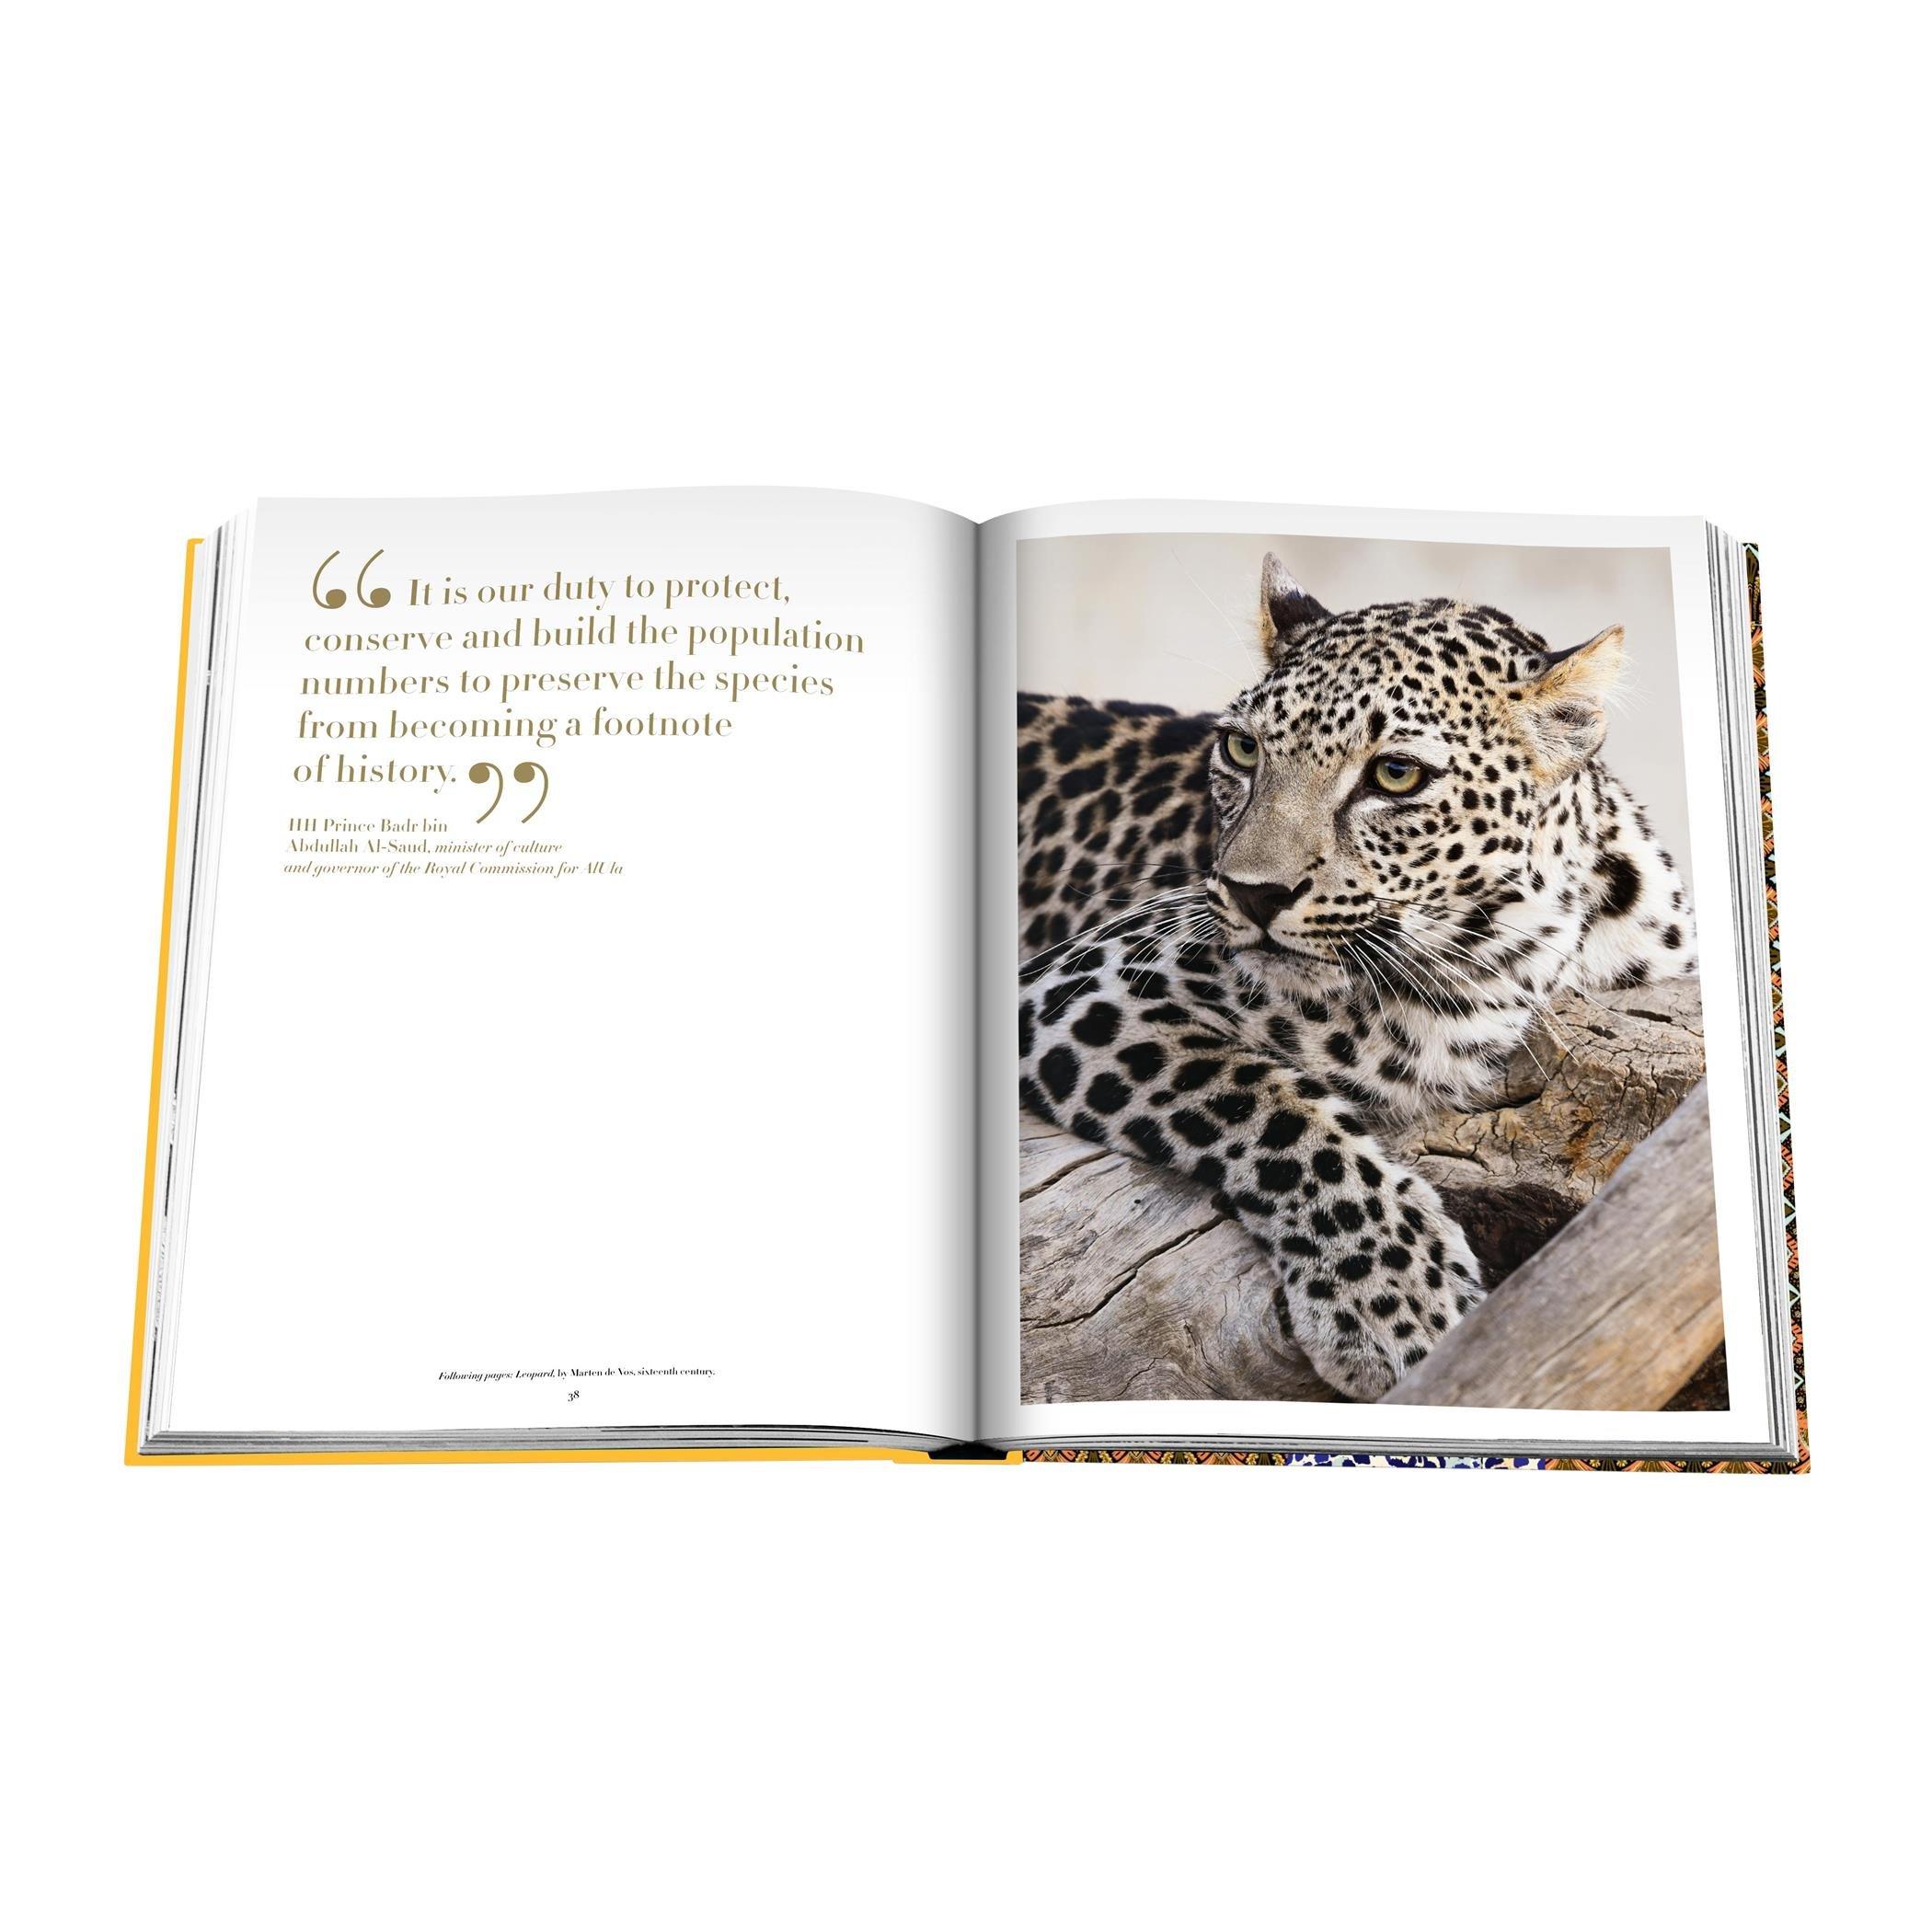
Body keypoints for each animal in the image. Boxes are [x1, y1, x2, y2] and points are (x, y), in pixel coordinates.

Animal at [1017, 554, 1699, 1400]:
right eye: (1243, 750)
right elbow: (1272, 1108)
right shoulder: (1093, 982)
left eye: (1396, 774)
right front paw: (1396, 1304)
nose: (1252, 893)